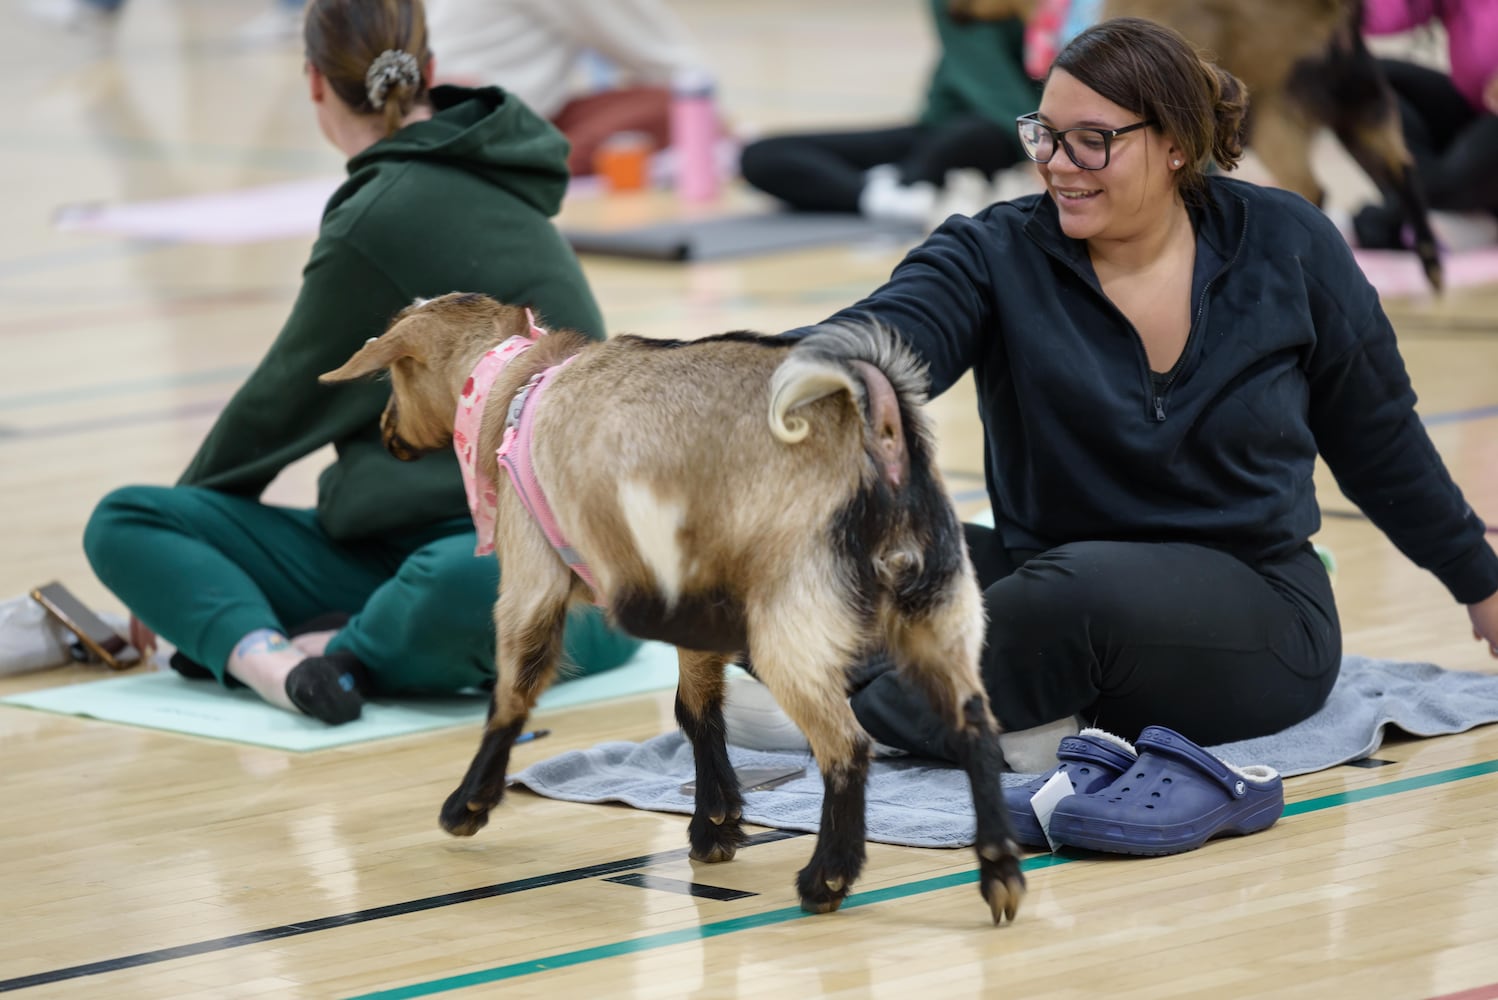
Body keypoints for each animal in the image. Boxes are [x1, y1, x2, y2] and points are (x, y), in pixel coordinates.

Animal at [320, 290, 1024, 922]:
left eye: (394, 376)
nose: (386, 433)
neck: (515, 386)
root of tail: (875, 430)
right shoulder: (692, 600)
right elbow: (696, 709)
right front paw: (717, 824)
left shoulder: (530, 582)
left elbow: (513, 694)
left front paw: (468, 805)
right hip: (940, 606)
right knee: (974, 726)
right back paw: (999, 873)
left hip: (793, 619)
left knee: (847, 746)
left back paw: (826, 877)